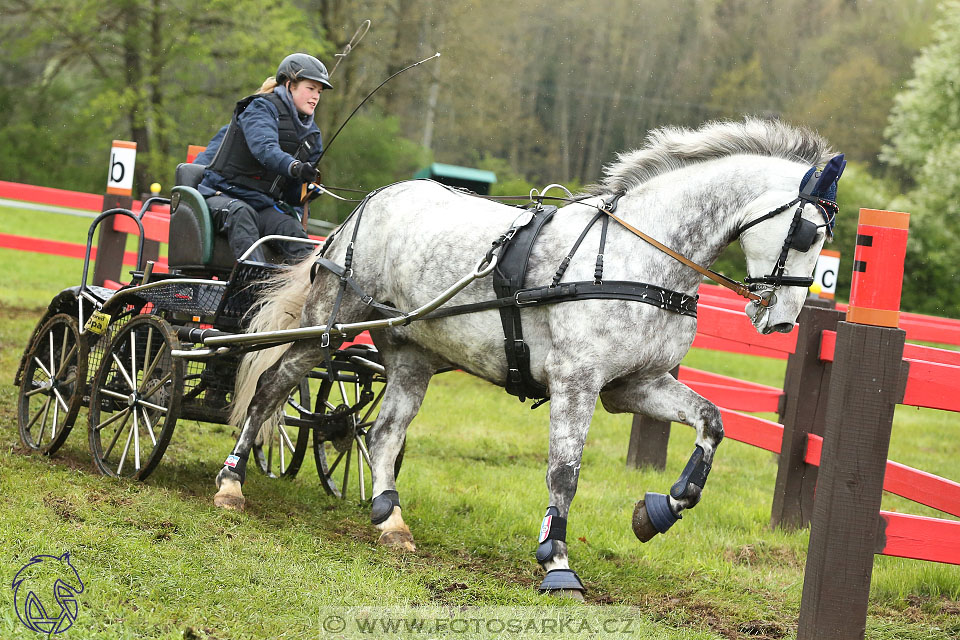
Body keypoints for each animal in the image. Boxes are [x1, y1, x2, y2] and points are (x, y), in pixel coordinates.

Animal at [212, 119, 840, 596]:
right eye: (807, 234)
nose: (783, 320)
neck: (637, 257)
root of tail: (369, 203)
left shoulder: (634, 385)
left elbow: (712, 421)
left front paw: (660, 510)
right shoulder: (577, 381)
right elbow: (566, 471)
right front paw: (556, 560)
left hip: (410, 353)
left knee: (383, 432)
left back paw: (390, 519)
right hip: (327, 327)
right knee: (271, 388)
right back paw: (231, 484)